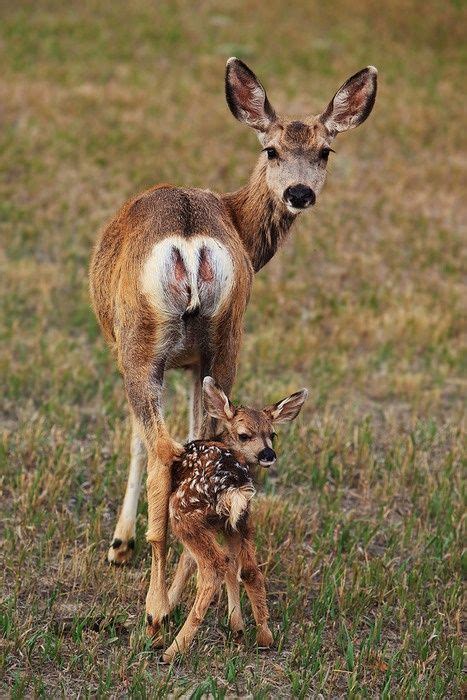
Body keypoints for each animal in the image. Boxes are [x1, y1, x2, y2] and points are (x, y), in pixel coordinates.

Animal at [89, 58, 378, 636]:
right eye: (272, 149)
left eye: (325, 150)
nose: (300, 193)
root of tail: (190, 240)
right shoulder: (194, 365)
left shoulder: (140, 356)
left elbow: (136, 439)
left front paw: (119, 545)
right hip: (225, 339)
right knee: (205, 441)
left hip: (141, 343)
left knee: (164, 448)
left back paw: (157, 607)